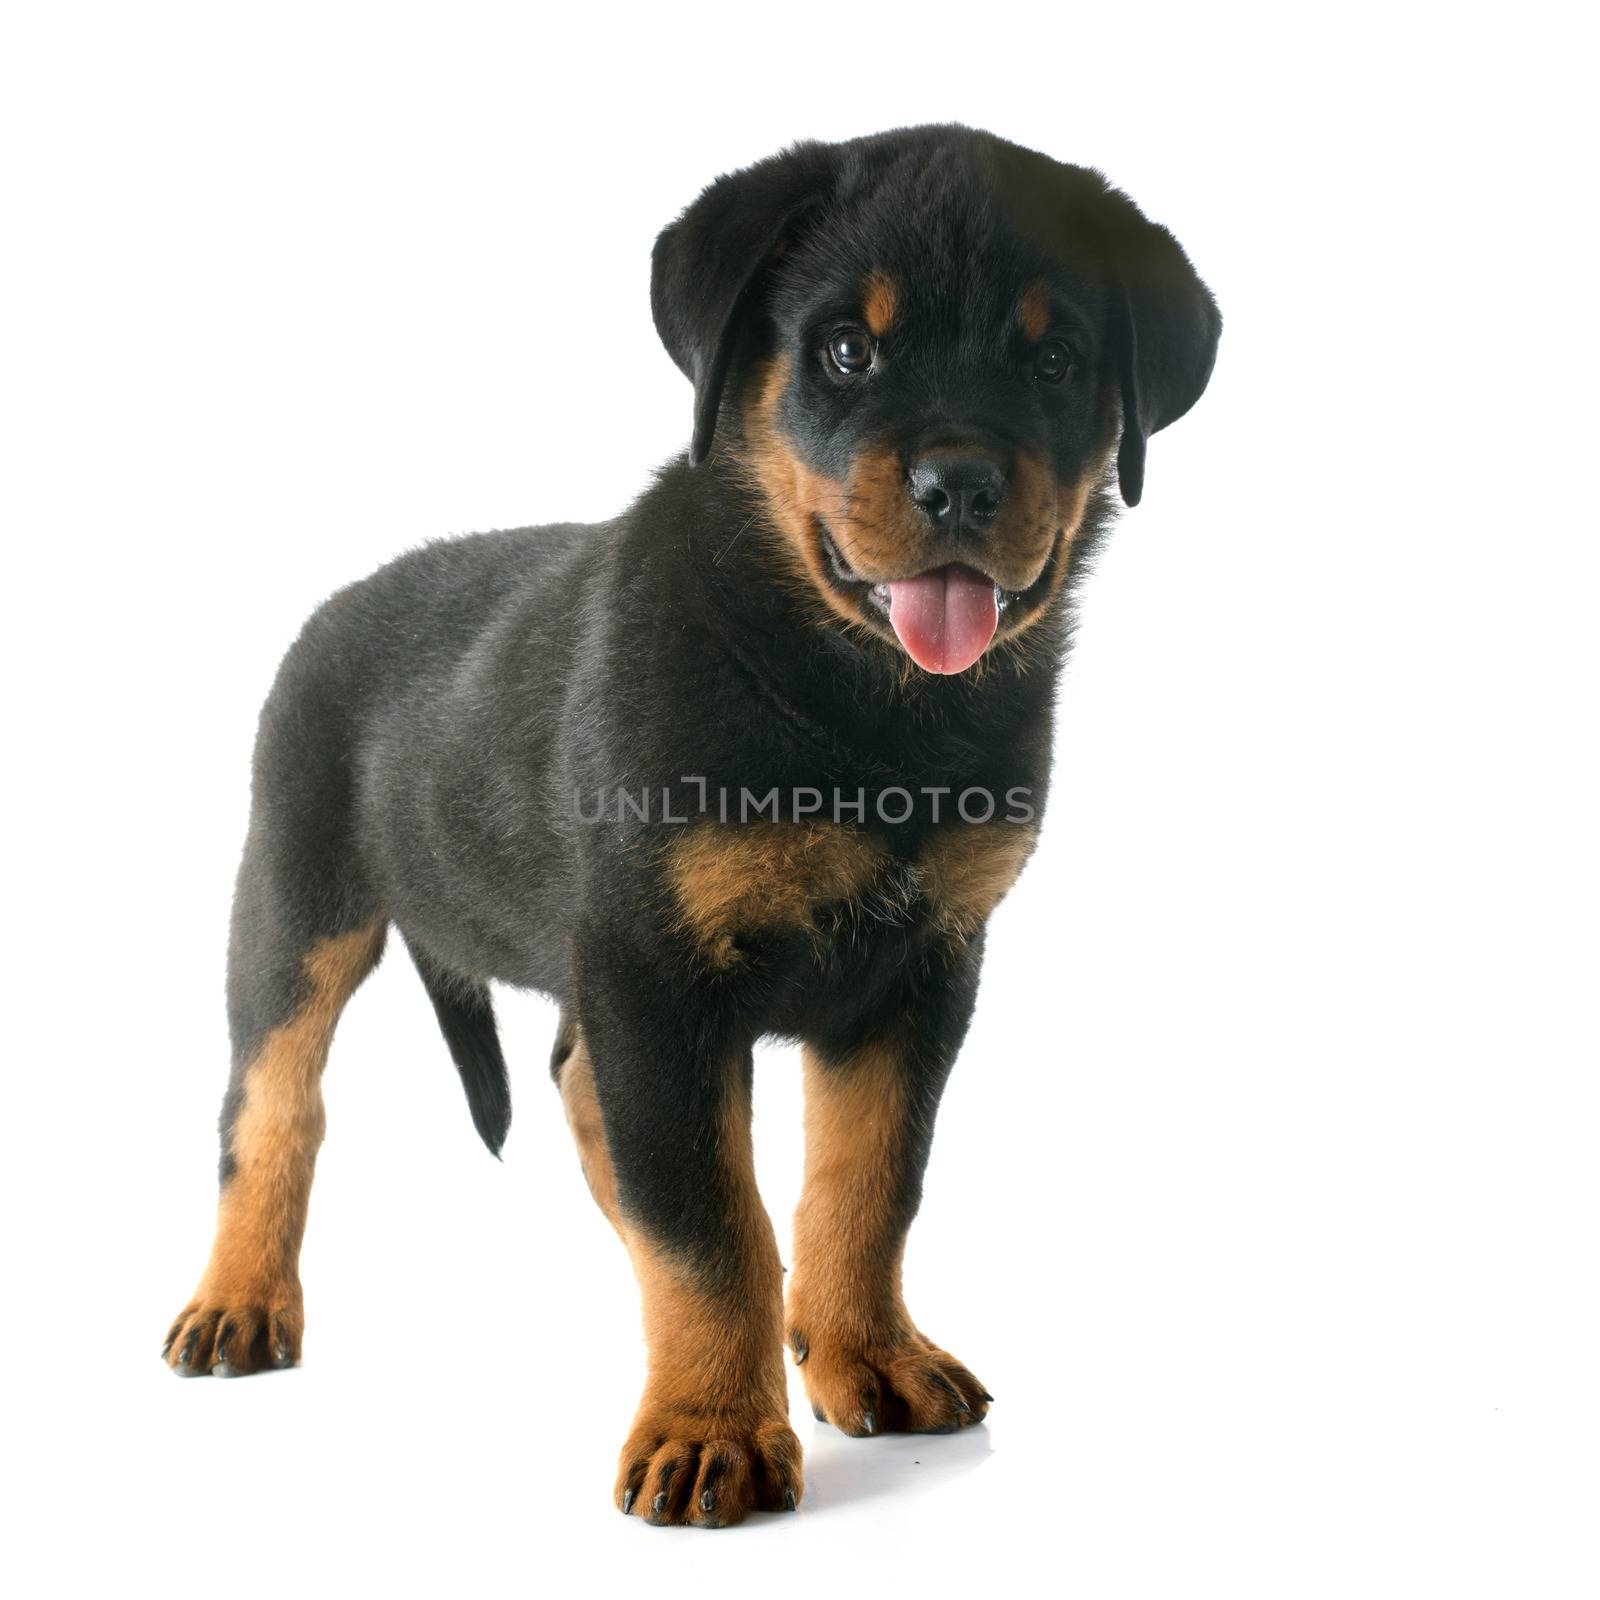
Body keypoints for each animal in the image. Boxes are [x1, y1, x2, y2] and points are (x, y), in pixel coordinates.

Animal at [162, 121, 1216, 1523]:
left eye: (1053, 359)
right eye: (845, 350)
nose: (959, 483)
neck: (854, 708)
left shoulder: (923, 969)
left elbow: (863, 1184)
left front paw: (862, 1351)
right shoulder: (655, 965)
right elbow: (709, 1220)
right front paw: (711, 1428)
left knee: (581, 1087)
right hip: (296, 894)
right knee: (272, 1103)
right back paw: (238, 1299)